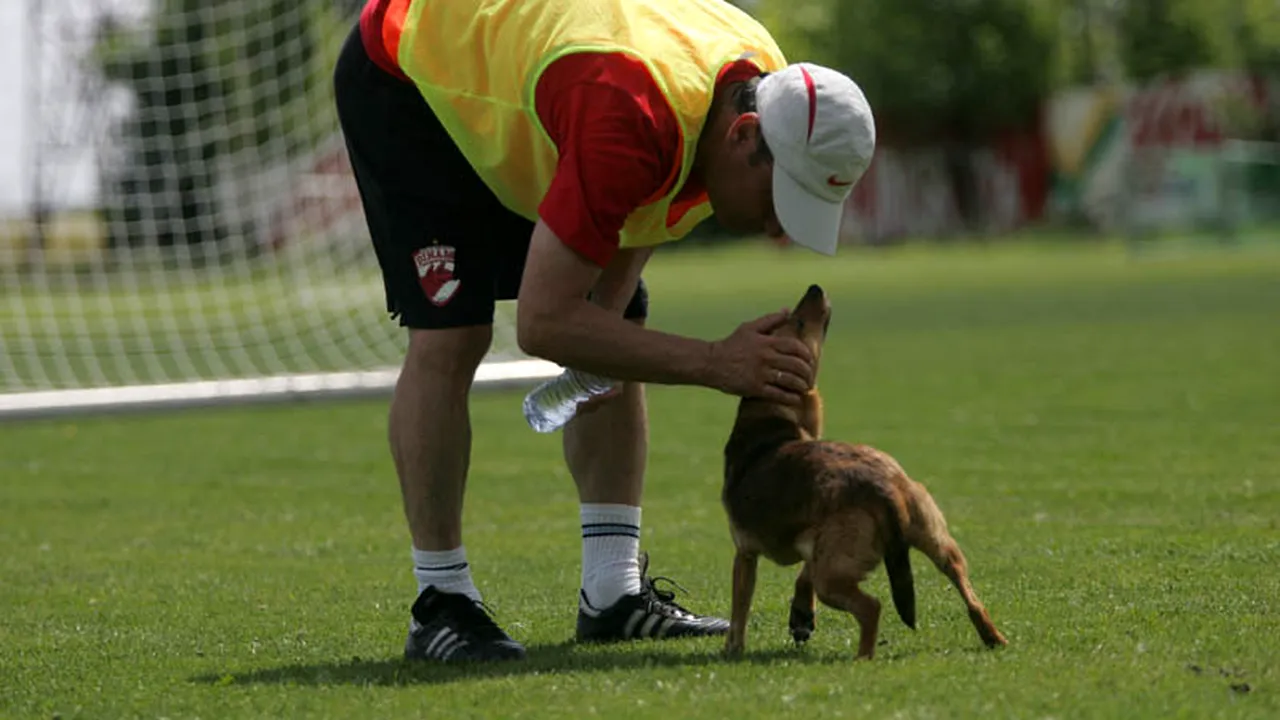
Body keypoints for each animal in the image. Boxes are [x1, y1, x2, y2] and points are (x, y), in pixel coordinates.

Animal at [721, 283, 1008, 661]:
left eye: (796, 322)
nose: (815, 287)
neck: (772, 422)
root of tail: (886, 488)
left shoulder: (745, 554)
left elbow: (739, 608)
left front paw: (732, 648)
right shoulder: (815, 544)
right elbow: (802, 574)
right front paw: (801, 614)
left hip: (834, 577)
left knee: (872, 607)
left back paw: (862, 658)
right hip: (938, 542)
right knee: (968, 592)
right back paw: (992, 636)